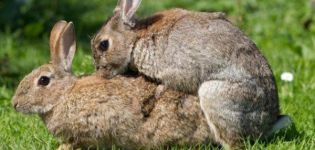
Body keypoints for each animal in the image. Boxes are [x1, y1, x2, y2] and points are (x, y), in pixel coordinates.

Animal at [90, 0, 284, 146]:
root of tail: (267, 124)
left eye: (104, 44)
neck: (136, 39)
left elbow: (166, 85)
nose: (100, 72)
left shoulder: (176, 70)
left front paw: (153, 98)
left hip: (216, 96)